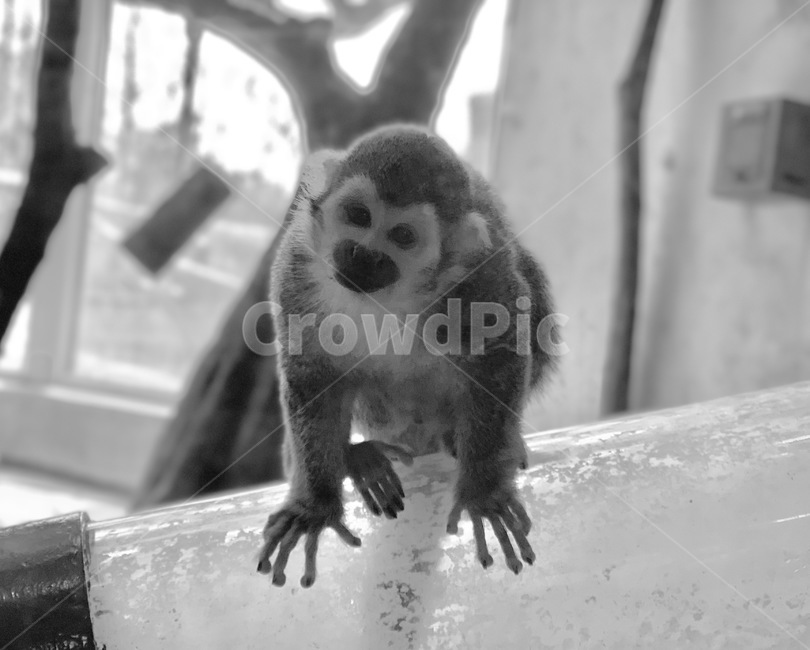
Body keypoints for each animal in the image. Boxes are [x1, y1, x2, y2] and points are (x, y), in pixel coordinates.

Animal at [256, 124, 557, 588]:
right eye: (358, 216)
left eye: (402, 237)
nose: (362, 254)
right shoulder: (297, 265)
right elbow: (311, 375)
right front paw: (315, 504)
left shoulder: (480, 276)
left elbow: (502, 353)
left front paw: (484, 489)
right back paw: (359, 458)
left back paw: (456, 439)